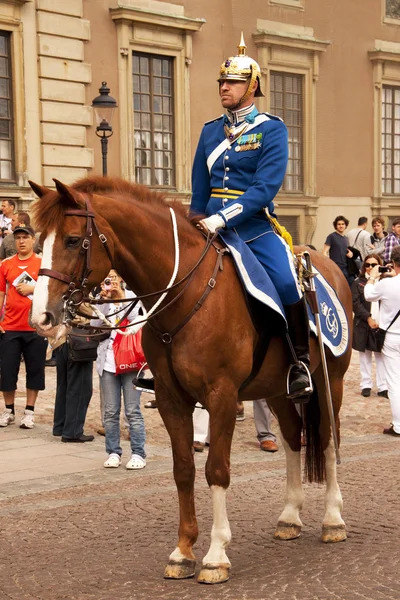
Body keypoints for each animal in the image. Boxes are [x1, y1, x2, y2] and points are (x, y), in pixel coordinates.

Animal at [28, 175, 354, 584]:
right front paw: (183, 552)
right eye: (39, 243)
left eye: (73, 240)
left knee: (326, 440)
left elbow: (216, 470)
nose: (42, 317)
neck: (187, 293)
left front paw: (216, 555)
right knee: (294, 438)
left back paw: (333, 519)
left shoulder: (221, 396)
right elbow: (183, 470)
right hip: (278, 390)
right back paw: (290, 517)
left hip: (331, 384)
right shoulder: (171, 398)